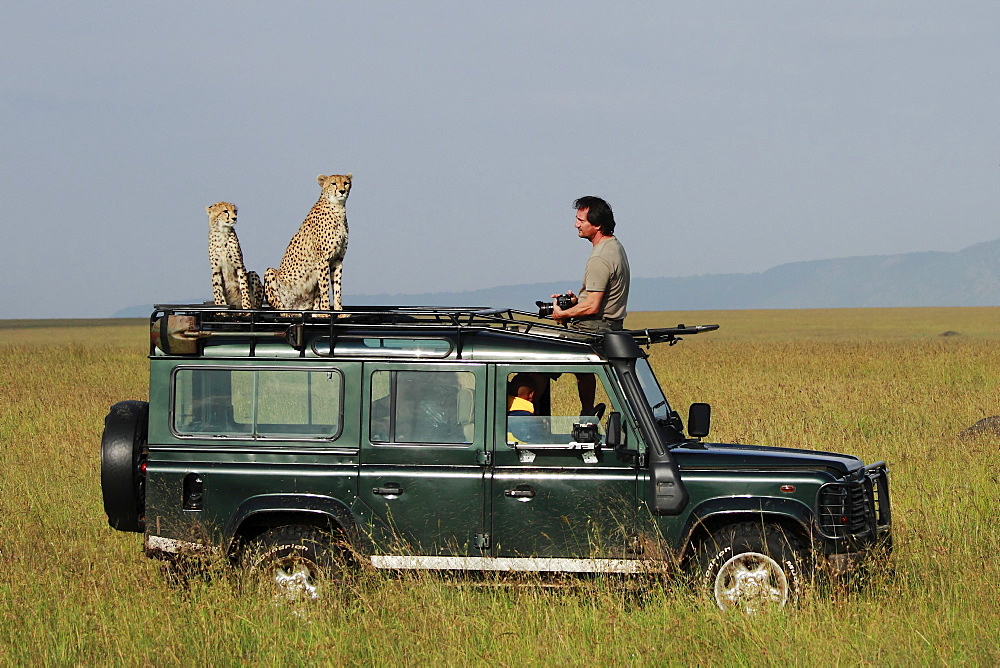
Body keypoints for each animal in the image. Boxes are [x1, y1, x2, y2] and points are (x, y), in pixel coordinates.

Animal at [262, 172, 352, 310]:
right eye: (333, 183)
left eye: (346, 183)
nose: (342, 191)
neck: (337, 208)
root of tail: (294, 307)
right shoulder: (322, 260)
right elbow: (325, 288)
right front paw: (326, 310)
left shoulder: (337, 259)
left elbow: (337, 287)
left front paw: (339, 311)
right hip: (270, 273)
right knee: (279, 306)